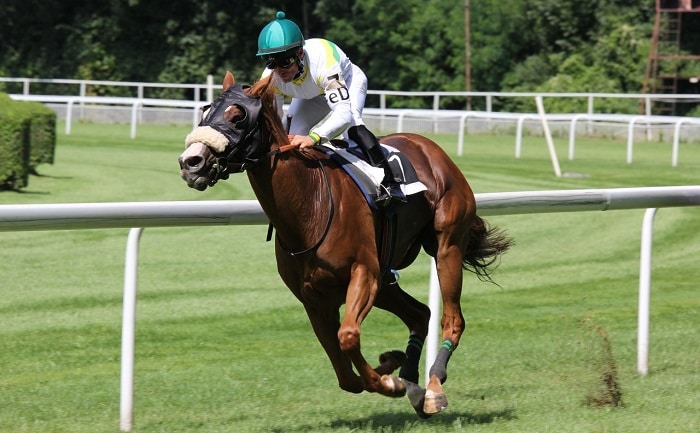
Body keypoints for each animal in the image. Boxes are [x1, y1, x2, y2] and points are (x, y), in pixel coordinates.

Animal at [178, 71, 512, 418]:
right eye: (205, 111)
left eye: (238, 116)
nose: (191, 162)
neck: (309, 206)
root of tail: (431, 148)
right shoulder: (314, 299)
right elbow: (344, 373)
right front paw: (391, 368)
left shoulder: (363, 273)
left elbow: (348, 337)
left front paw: (390, 381)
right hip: (386, 279)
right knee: (420, 314)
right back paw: (412, 383)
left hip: (446, 246)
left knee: (452, 318)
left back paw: (432, 388)